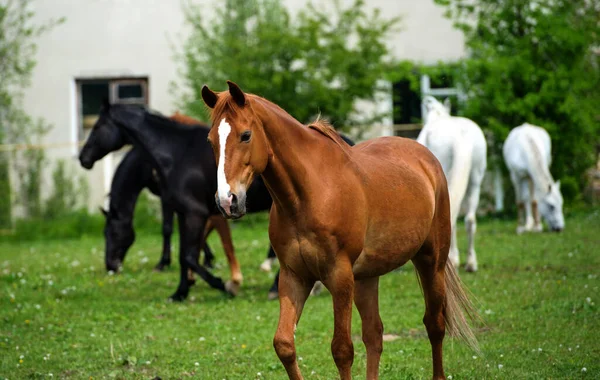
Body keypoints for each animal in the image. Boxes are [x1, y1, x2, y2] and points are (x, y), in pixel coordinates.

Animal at [100, 145, 216, 274]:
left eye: (115, 233)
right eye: (104, 233)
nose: (110, 266)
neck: (146, 164)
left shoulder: (167, 197)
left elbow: (167, 229)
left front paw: (163, 263)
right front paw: (207, 259)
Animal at [202, 81, 478, 380]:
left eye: (246, 135)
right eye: (211, 140)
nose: (227, 201)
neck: (308, 194)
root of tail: (426, 158)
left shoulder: (340, 277)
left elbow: (342, 349)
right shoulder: (294, 276)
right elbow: (284, 344)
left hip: (431, 261)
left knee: (434, 324)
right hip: (368, 276)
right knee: (374, 334)